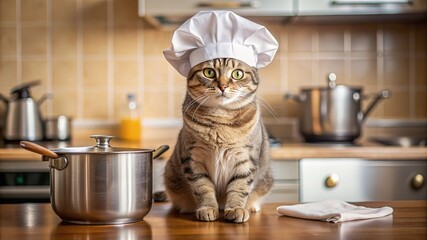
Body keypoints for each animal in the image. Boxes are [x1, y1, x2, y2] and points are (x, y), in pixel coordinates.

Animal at [165, 57, 274, 223]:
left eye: (237, 74)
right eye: (209, 72)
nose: (223, 86)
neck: (221, 120)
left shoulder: (246, 159)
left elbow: (239, 187)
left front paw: (236, 209)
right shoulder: (193, 159)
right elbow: (202, 187)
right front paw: (208, 208)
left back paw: (252, 206)